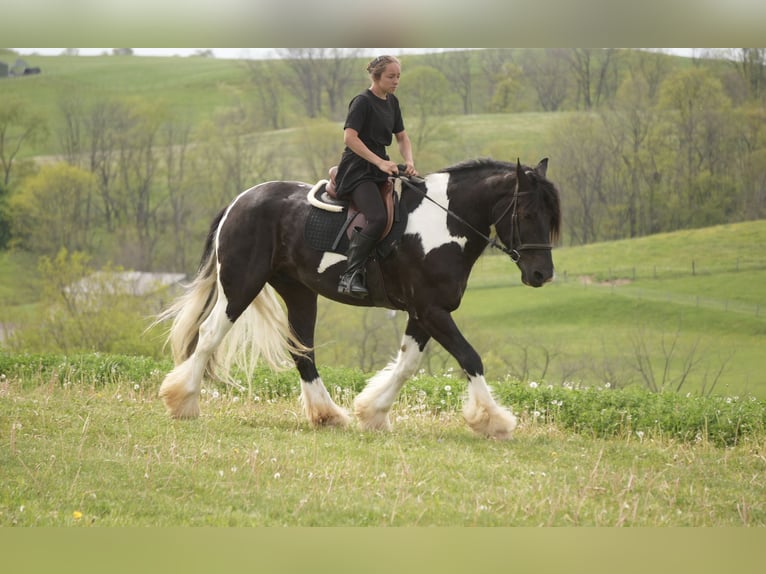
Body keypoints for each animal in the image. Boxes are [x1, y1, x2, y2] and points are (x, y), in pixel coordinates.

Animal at [156, 157, 561, 439]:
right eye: (527, 213)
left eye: (551, 216)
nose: (542, 275)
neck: (444, 225)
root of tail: (238, 202)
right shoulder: (431, 310)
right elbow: (469, 357)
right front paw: (495, 421)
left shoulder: (425, 312)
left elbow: (408, 364)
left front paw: (373, 412)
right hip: (241, 284)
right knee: (210, 335)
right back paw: (183, 401)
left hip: (299, 292)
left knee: (302, 350)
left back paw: (327, 415)